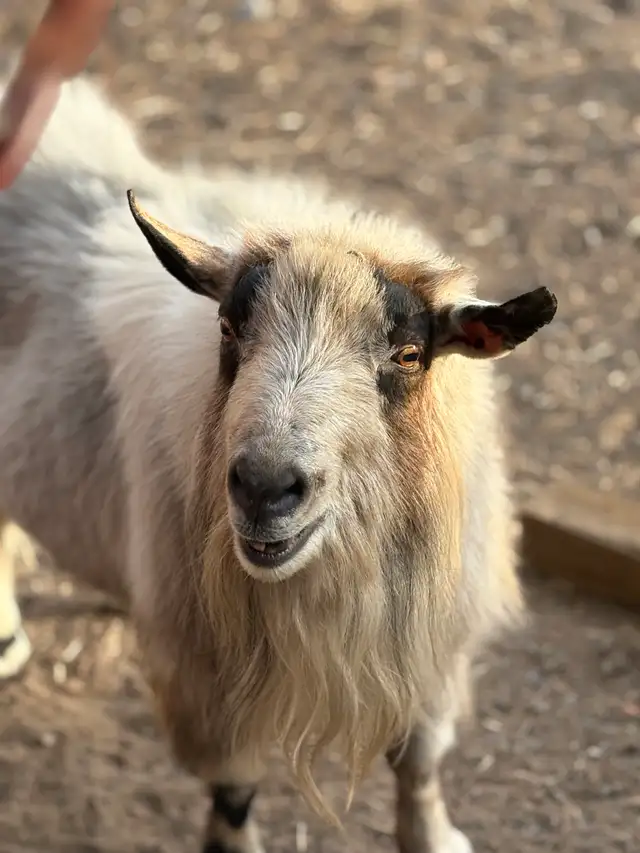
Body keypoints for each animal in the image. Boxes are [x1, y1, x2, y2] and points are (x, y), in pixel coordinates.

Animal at [0, 74, 556, 853]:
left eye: (408, 353)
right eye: (229, 327)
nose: (265, 487)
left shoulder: (431, 643)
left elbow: (419, 761)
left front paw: (434, 836)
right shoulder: (211, 681)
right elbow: (234, 790)